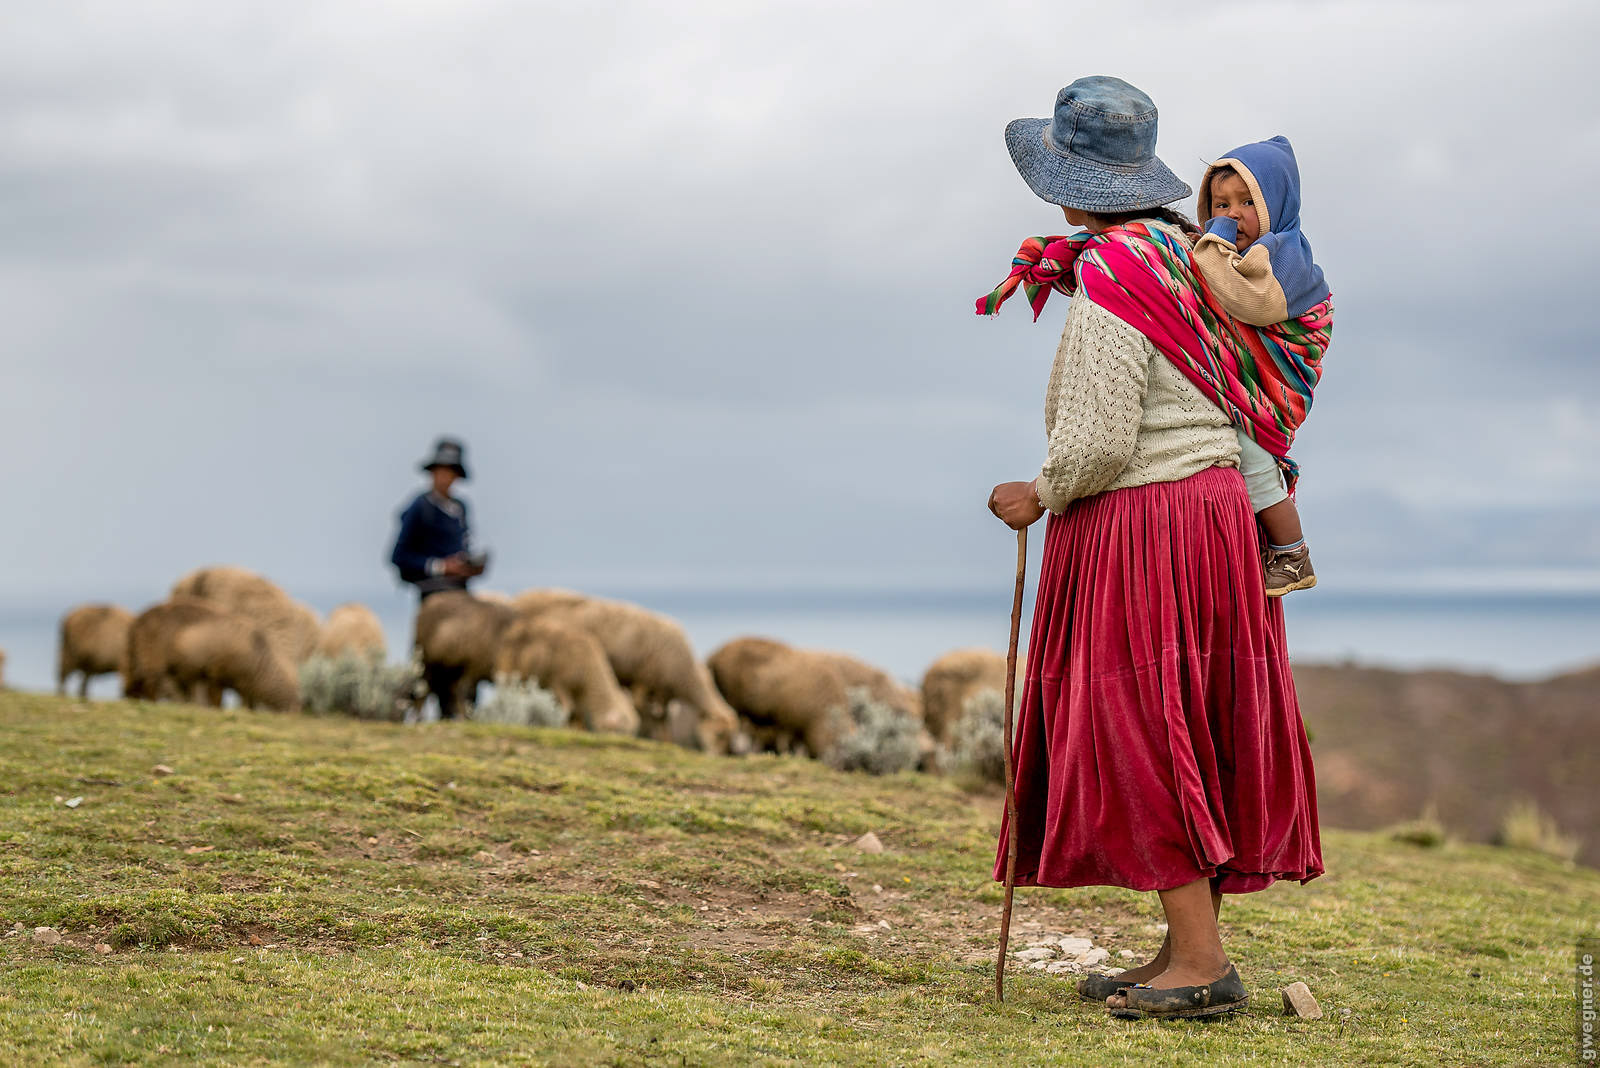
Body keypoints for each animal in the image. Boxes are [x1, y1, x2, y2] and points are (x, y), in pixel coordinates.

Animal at [123, 597, 300, 713]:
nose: (294, 713)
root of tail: (136, 624)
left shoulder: (243, 685)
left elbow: (246, 702)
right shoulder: (216, 674)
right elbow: (217, 699)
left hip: (144, 662)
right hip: (151, 660)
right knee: (149, 685)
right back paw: (152, 704)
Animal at [492, 617, 636, 735]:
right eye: (619, 731)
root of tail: (515, 628)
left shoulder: (579, 700)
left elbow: (577, 719)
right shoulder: (559, 684)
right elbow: (567, 711)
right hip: (509, 672)